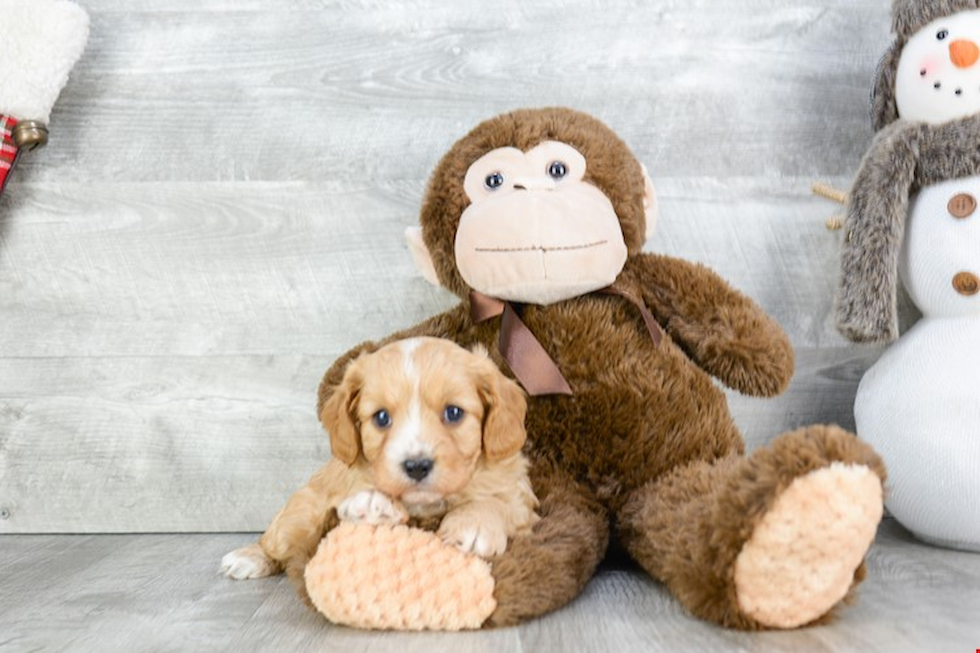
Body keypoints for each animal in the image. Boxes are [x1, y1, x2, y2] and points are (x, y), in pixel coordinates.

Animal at [220, 338, 536, 600]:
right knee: (275, 539)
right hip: (300, 514)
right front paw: (374, 503)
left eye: (454, 412)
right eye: (381, 417)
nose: (417, 466)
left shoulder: (520, 497)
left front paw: (473, 523)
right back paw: (248, 557)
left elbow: (498, 502)